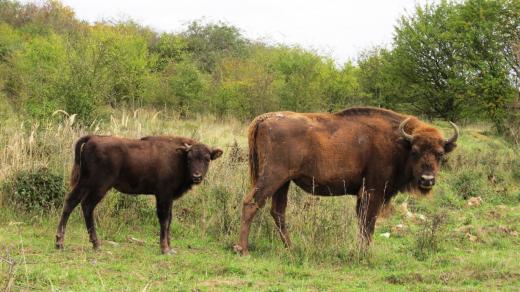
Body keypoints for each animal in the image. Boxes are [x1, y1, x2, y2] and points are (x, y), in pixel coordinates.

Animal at [55, 135, 222, 253]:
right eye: (190, 158)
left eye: (207, 159)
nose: (197, 176)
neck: (178, 157)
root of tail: (93, 138)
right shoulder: (163, 195)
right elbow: (164, 220)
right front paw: (164, 249)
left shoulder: (169, 198)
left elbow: (169, 220)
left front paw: (170, 247)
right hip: (99, 185)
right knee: (86, 205)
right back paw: (94, 244)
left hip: (85, 183)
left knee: (71, 202)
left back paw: (61, 243)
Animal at [236, 107, 460, 256]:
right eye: (415, 151)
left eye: (440, 154)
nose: (427, 180)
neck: (399, 142)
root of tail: (265, 118)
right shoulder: (373, 191)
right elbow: (368, 223)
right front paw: (364, 253)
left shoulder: (364, 194)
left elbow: (363, 223)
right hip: (272, 177)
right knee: (251, 203)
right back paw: (243, 249)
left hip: (284, 182)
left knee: (278, 211)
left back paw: (291, 248)